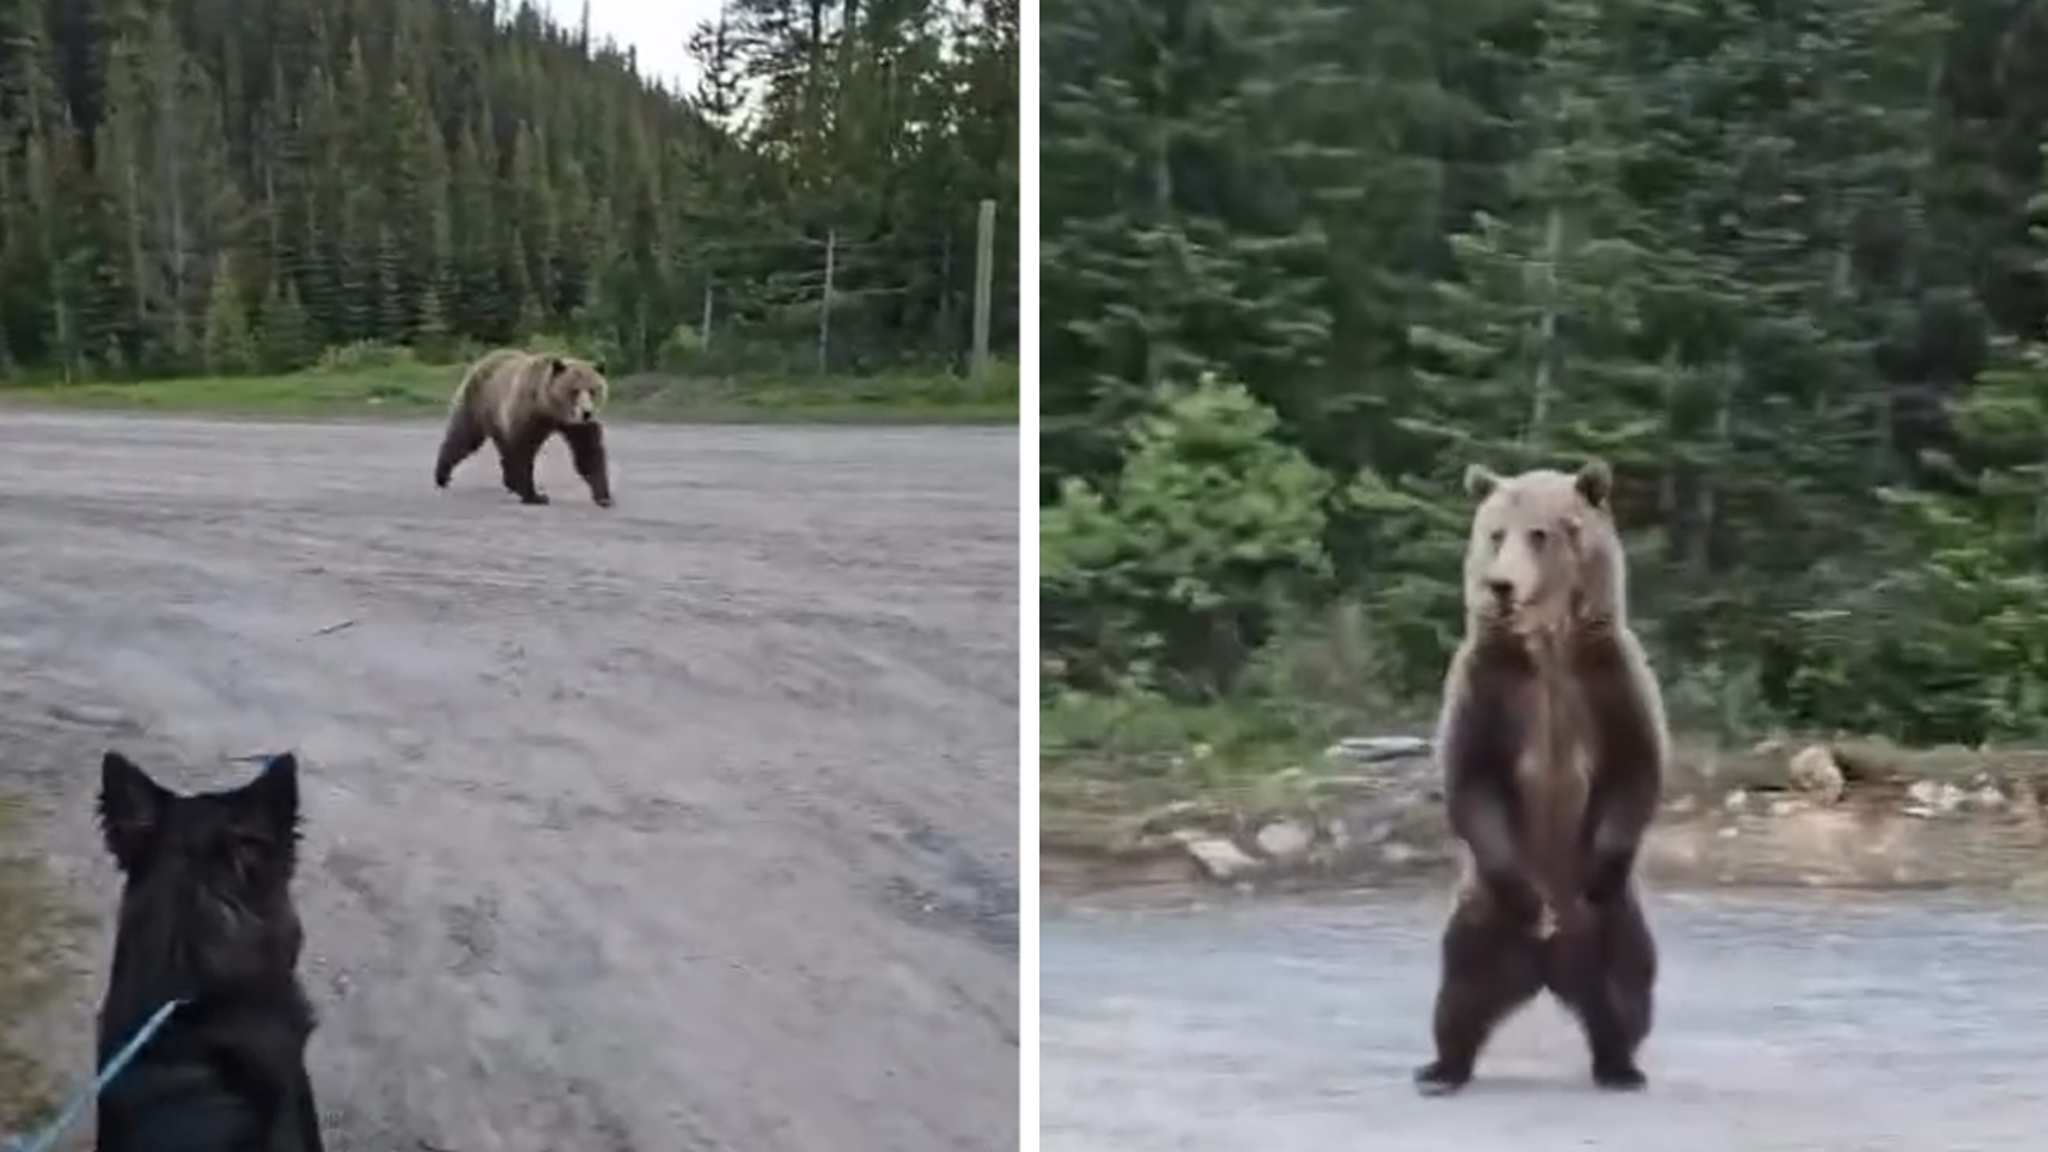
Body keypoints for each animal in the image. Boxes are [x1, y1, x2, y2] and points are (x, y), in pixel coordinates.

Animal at [432, 348, 614, 507]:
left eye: (593, 390)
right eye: (574, 391)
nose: (586, 412)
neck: (550, 409)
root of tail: (487, 357)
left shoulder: (577, 425)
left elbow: (588, 452)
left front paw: (604, 497)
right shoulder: (529, 413)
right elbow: (523, 450)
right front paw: (535, 496)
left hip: (497, 417)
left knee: (502, 446)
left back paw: (509, 483)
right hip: (478, 401)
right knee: (464, 436)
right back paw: (442, 476)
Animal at [1411, 458, 1669, 1097]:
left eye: (1540, 534)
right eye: (1494, 533)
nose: (1500, 586)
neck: (1548, 650)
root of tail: (1549, 966)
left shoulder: (1609, 680)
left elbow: (1634, 769)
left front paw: (1599, 871)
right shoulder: (1489, 685)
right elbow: (1472, 778)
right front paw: (1530, 901)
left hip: (1616, 925)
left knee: (1627, 988)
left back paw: (1620, 1065)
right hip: (1480, 914)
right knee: (1460, 988)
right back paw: (1442, 1067)